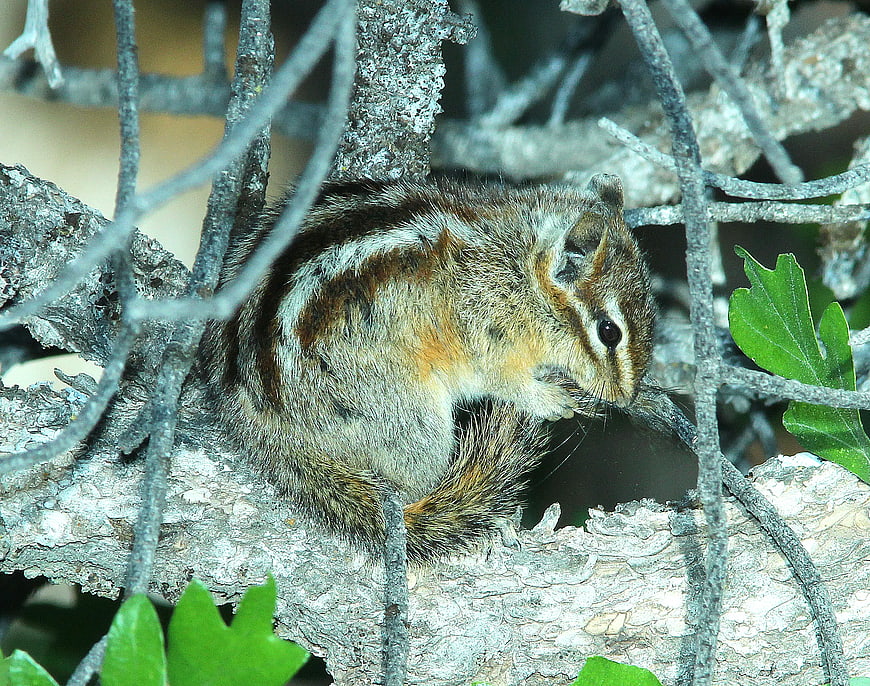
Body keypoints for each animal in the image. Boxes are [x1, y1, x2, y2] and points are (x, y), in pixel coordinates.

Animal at [201, 173, 655, 563]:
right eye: (610, 332)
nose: (625, 397)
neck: (520, 267)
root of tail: (262, 423)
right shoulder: (485, 332)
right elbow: (505, 380)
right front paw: (548, 397)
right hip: (408, 418)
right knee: (410, 489)